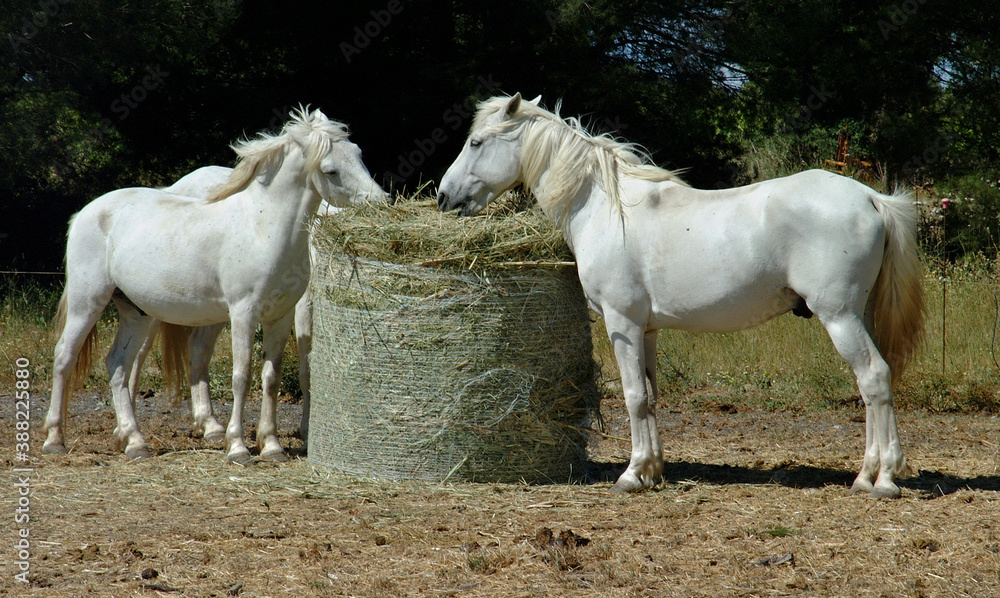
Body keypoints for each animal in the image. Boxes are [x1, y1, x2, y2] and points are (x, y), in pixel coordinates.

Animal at [128, 164, 386, 445]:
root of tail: (176, 186)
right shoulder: (303, 306)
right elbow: (306, 371)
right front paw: (306, 431)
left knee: (197, 349)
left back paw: (210, 424)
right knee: (139, 354)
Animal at [437, 93, 925, 498]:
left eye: (477, 142)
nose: (443, 196)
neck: (603, 206)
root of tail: (869, 197)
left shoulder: (622, 324)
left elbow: (632, 396)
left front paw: (630, 475)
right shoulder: (647, 330)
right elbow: (651, 396)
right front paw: (652, 471)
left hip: (839, 316)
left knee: (874, 379)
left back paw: (883, 480)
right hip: (858, 315)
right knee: (869, 387)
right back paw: (864, 475)